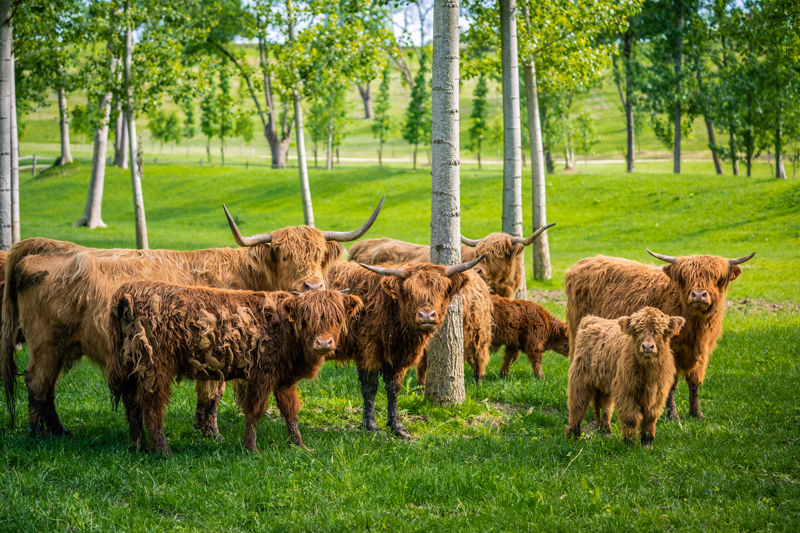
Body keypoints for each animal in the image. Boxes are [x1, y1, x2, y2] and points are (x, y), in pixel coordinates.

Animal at [108, 283, 363, 454]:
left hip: (133, 366)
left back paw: (139, 446)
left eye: (337, 318)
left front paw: (299, 445)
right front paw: (251, 448)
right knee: (151, 406)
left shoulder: (284, 379)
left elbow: (291, 411)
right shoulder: (262, 374)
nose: (323, 343)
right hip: (155, 368)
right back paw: (163, 450)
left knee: (132, 404)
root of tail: (129, 291)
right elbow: (255, 411)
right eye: (306, 318)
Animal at [324, 256, 486, 437]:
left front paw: (397, 426)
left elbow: (393, 389)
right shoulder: (368, 353)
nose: (426, 316)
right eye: (409, 292)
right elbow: (370, 389)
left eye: (442, 290)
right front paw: (371, 426)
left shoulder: (398, 358)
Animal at [565, 250, 755, 420]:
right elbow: (671, 383)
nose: (698, 295)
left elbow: (695, 382)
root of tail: (582, 263)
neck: (694, 326)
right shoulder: (671, 351)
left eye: (718, 279)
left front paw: (697, 414)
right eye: (684, 278)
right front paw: (672, 416)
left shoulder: (702, 351)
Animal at [566, 307, 685, 446]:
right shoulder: (626, 391)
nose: (647, 347)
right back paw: (573, 435)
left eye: (660, 331)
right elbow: (631, 417)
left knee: (603, 406)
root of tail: (591, 318)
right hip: (579, 379)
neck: (648, 374)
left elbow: (650, 416)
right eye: (637, 331)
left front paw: (647, 442)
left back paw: (604, 433)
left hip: (604, 383)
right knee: (577, 405)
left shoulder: (658, 393)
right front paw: (630, 443)